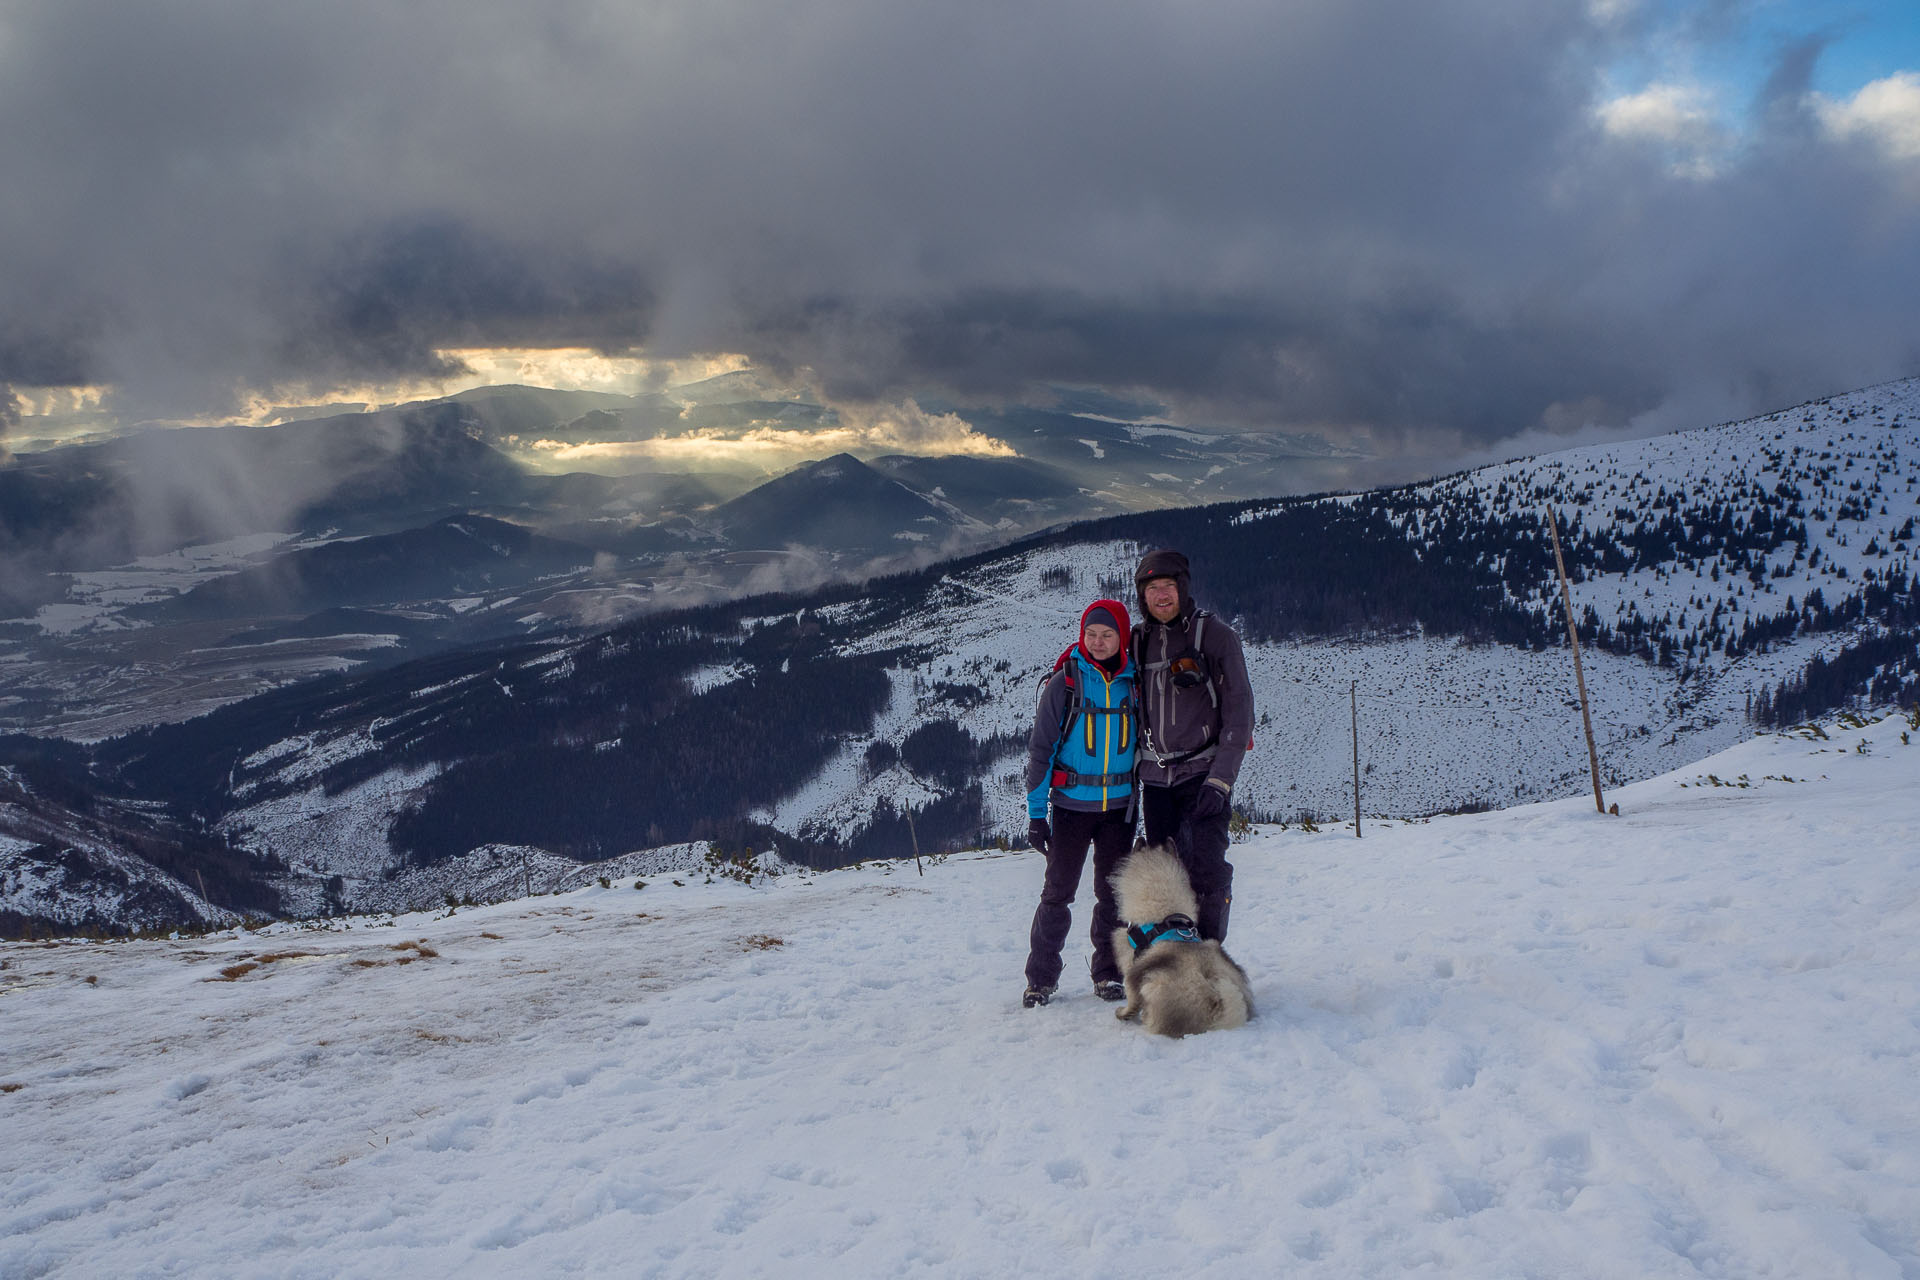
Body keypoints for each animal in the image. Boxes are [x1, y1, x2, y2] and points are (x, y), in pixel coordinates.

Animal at [1105, 844, 1251, 1036]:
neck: (1164, 914)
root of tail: (1218, 1009)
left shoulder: (1131, 968)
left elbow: (1131, 1000)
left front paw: (1122, 1014)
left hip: (1152, 985)